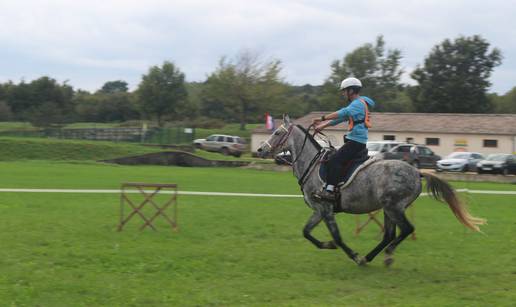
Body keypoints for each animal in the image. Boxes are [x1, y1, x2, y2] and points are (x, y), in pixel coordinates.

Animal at [258, 115, 488, 268]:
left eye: (277, 132)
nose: (260, 150)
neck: (312, 165)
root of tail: (416, 171)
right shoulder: (318, 210)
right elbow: (306, 232)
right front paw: (327, 245)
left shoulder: (325, 208)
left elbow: (337, 237)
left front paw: (349, 252)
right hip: (388, 209)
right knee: (389, 234)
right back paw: (371, 257)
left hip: (393, 207)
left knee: (406, 230)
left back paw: (383, 255)